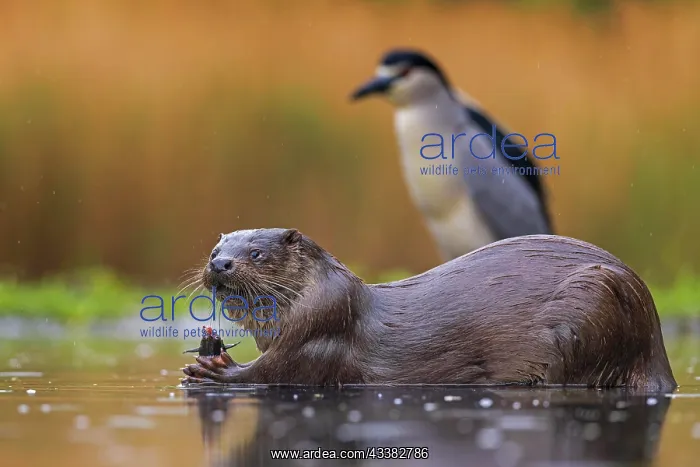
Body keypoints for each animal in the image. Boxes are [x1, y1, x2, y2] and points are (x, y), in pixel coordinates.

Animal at [181, 228, 677, 392]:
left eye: (257, 253)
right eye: (215, 249)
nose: (220, 264)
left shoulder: (320, 331)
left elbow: (276, 372)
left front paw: (214, 368)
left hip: (592, 300)